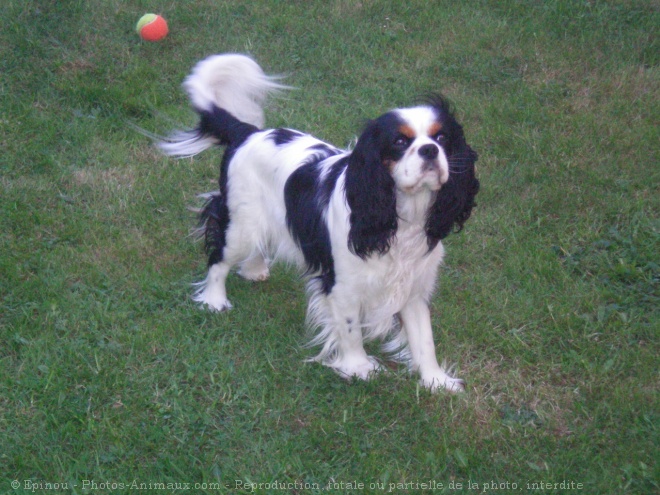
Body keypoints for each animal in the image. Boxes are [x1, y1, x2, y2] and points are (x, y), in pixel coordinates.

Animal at [160, 54, 480, 394]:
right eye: (399, 141)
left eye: (442, 137)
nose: (430, 150)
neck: (401, 215)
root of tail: (248, 133)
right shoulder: (343, 285)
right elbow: (351, 331)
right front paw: (360, 368)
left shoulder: (414, 286)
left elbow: (424, 337)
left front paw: (436, 380)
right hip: (241, 224)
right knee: (219, 257)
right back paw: (214, 300)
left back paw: (255, 270)